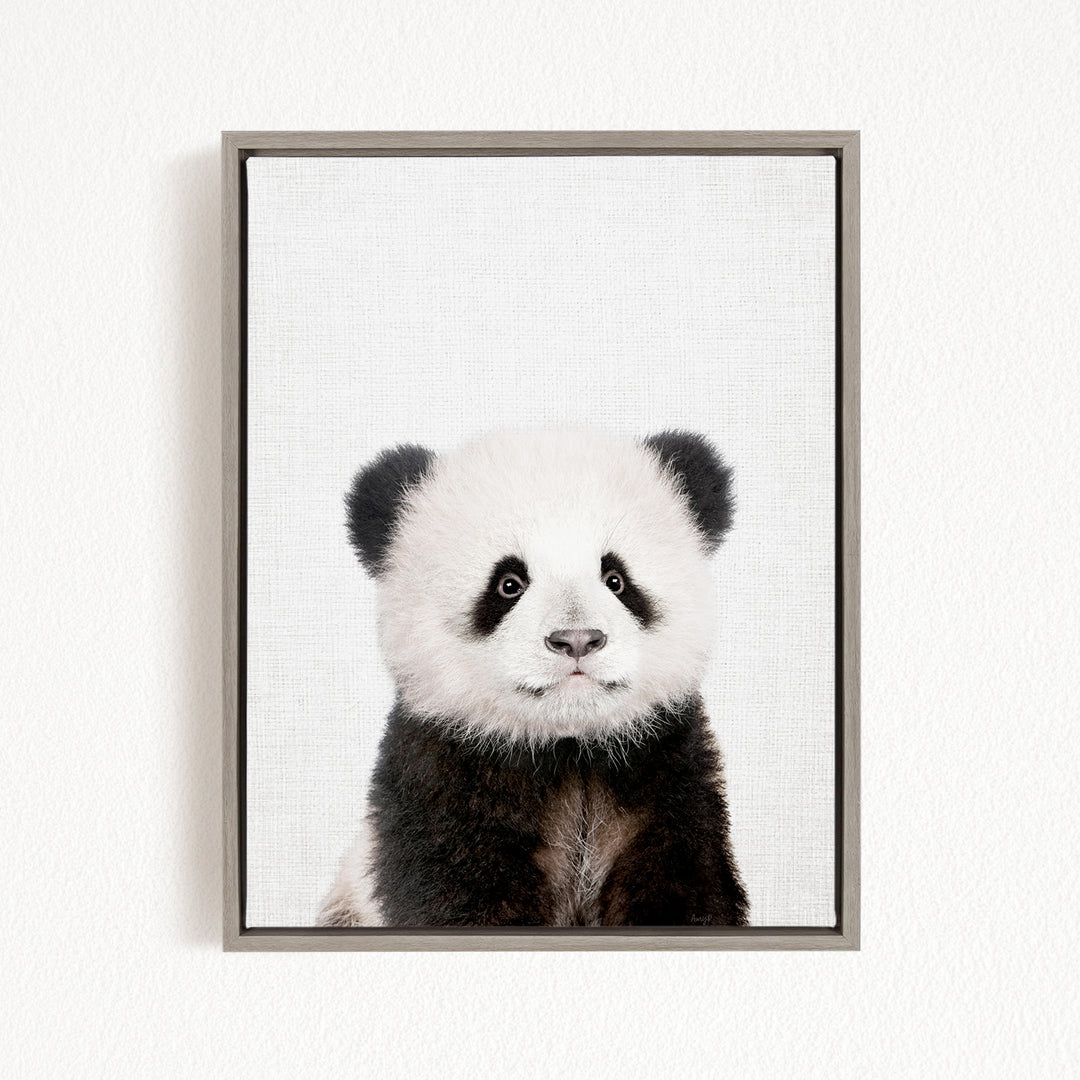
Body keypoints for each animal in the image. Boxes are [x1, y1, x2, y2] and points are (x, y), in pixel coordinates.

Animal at [318, 428, 748, 927]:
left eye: (616, 579)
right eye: (509, 584)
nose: (577, 640)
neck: (569, 748)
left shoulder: (665, 769)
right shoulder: (443, 775)